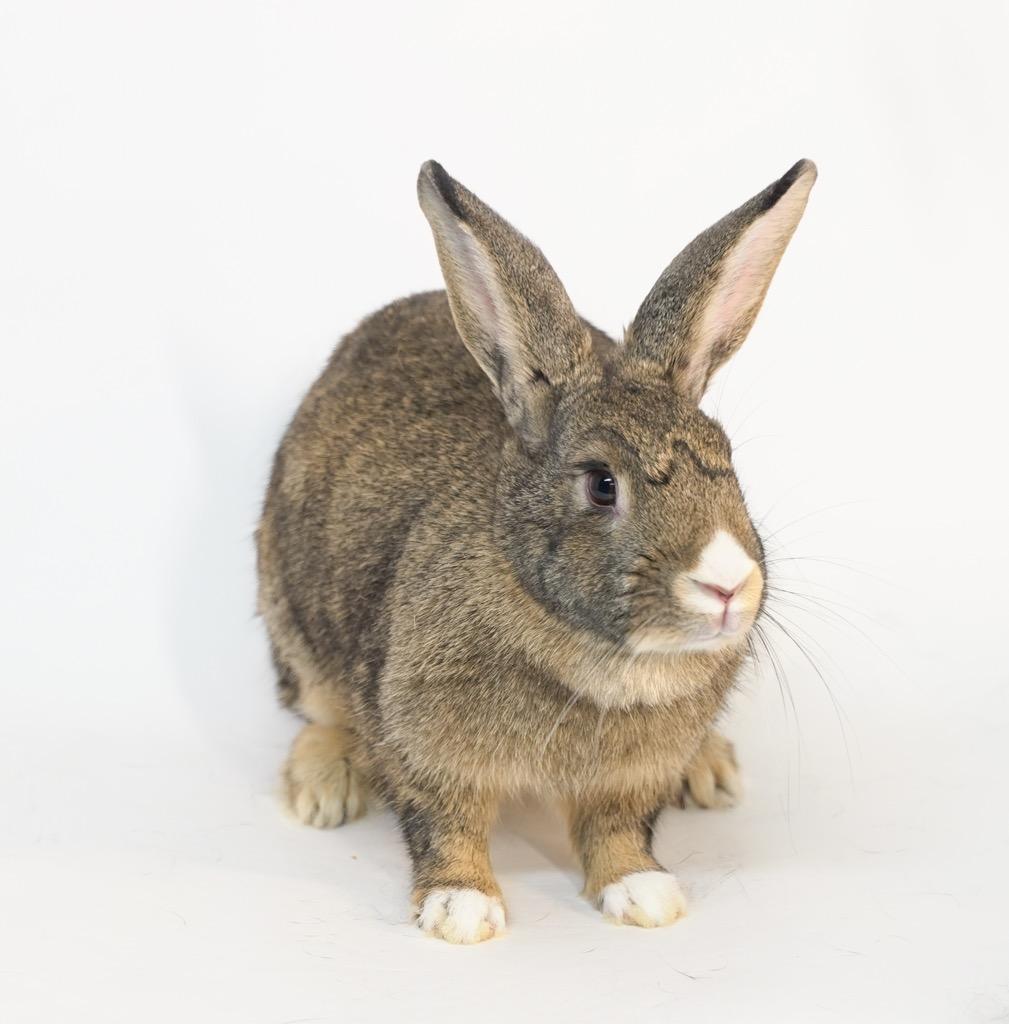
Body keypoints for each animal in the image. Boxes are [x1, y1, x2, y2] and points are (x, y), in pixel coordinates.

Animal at [256, 157, 817, 943]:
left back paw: (711, 773)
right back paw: (323, 790)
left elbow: (618, 830)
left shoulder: (631, 778)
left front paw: (644, 894)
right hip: (292, 623)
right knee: (317, 712)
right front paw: (461, 910)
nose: (728, 585)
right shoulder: (423, 745)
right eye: (602, 484)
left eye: (726, 461)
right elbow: (444, 823)